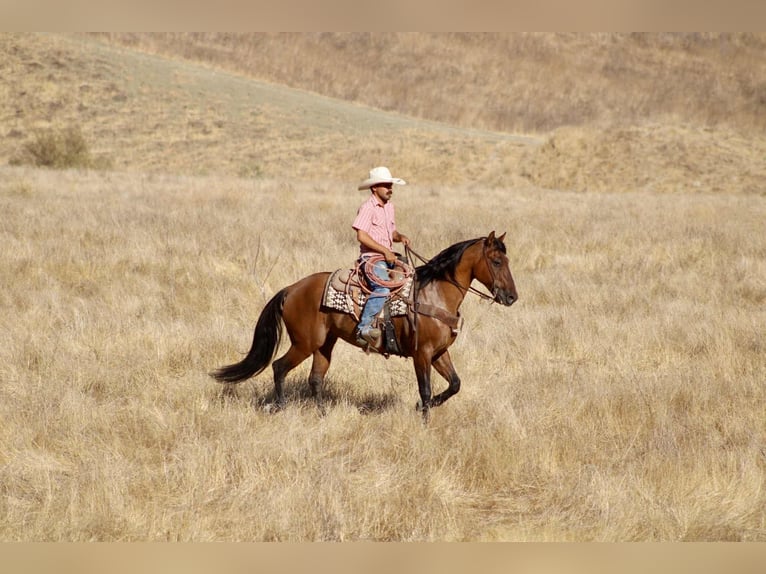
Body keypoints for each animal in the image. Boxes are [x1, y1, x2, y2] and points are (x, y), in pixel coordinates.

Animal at [211, 231, 517, 420]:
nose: (512, 297)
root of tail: (291, 289)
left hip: (325, 344)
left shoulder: (440, 352)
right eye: (496, 261)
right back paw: (281, 407)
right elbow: (426, 390)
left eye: (507, 260)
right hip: (304, 343)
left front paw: (421, 408)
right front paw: (424, 420)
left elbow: (454, 384)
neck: (436, 294)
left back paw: (322, 415)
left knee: (315, 378)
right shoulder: (422, 354)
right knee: (279, 367)